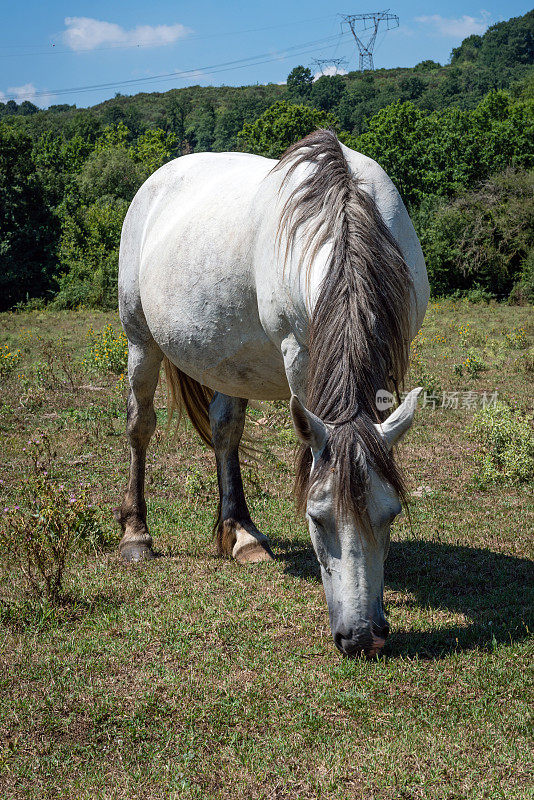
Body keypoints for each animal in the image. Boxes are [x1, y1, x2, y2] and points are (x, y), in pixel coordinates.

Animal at [117, 131, 432, 656]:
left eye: (391, 514)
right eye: (317, 518)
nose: (361, 638)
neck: (343, 211)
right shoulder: (300, 357)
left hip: (228, 363)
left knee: (225, 431)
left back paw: (241, 534)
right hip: (140, 341)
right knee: (140, 426)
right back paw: (136, 536)